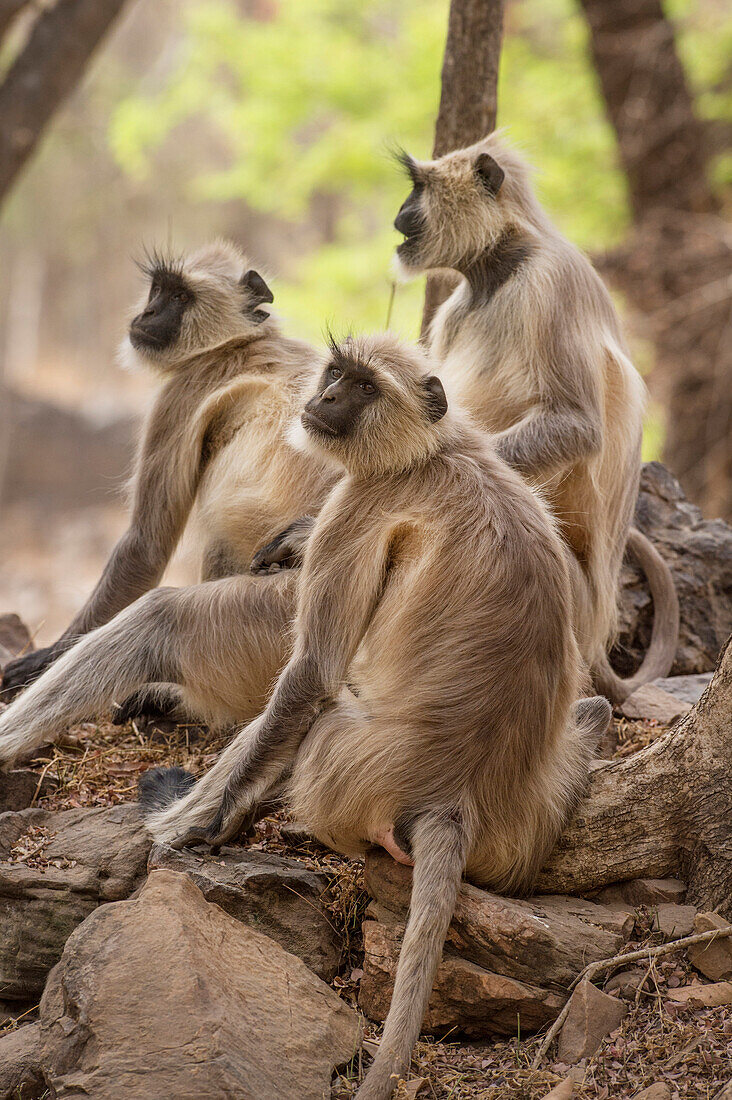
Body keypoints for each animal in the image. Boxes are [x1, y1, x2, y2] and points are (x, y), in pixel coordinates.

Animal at [0, 243, 334, 712]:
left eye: (179, 297)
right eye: (158, 290)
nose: (149, 312)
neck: (243, 341)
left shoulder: (183, 391)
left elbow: (145, 547)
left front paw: (41, 659)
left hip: (283, 616)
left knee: (160, 614)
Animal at [138, 332, 612, 1100]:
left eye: (362, 387)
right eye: (336, 374)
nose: (326, 398)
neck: (431, 451)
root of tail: (457, 796)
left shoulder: (357, 502)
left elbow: (311, 674)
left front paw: (190, 823)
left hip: (347, 771)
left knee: (321, 720)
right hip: (530, 822)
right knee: (591, 712)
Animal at [391, 133, 678, 699]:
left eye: (418, 189)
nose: (399, 215)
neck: (499, 269)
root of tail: (597, 635)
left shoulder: (551, 281)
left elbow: (576, 425)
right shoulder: (452, 311)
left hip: (570, 601)